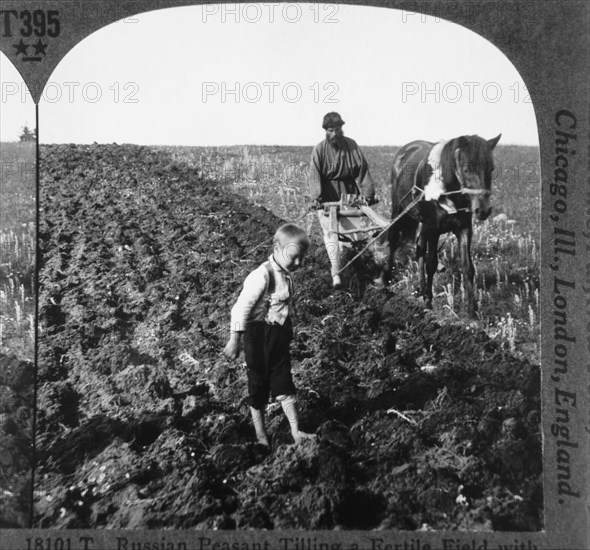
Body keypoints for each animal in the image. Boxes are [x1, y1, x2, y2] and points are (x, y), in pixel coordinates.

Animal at [386, 133, 502, 320]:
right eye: (466, 169)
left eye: (491, 169)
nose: (483, 210)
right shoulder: (434, 229)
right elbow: (431, 264)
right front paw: (428, 304)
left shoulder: (464, 229)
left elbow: (468, 268)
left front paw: (472, 311)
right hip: (399, 210)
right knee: (393, 239)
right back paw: (387, 279)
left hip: (423, 224)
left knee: (419, 249)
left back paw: (421, 288)